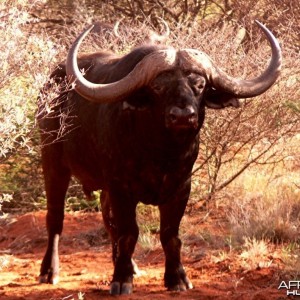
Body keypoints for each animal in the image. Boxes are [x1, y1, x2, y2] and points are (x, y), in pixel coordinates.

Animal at [38, 21, 282, 296]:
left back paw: (129, 265)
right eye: (158, 86)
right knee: (56, 219)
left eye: (199, 85)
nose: (183, 116)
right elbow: (129, 232)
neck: (160, 153)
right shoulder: (121, 188)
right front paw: (121, 279)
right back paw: (50, 271)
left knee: (107, 221)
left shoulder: (180, 187)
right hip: (53, 163)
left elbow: (169, 234)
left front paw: (176, 277)